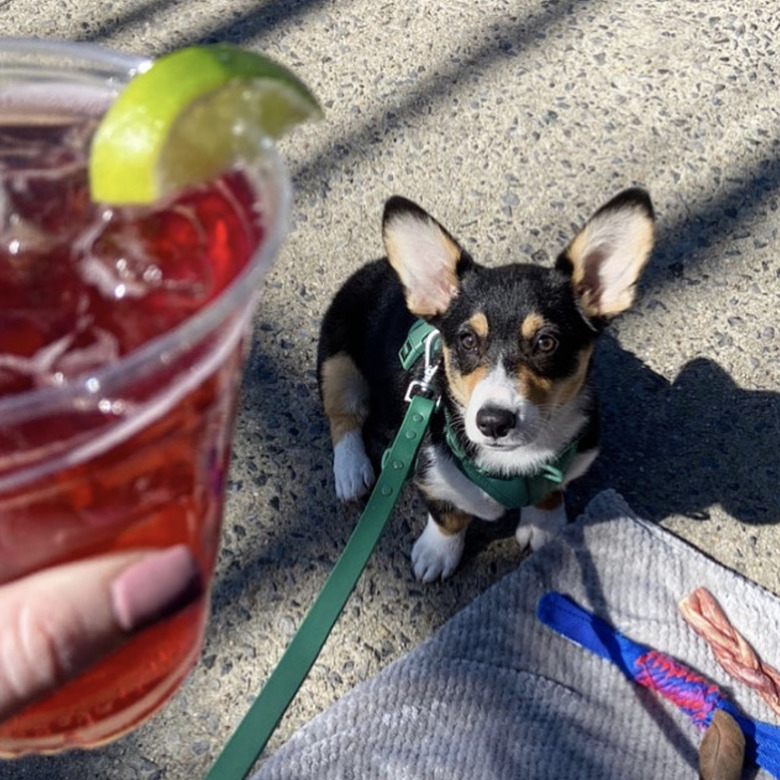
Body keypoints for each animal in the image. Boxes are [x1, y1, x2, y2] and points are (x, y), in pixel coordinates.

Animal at [316, 187, 652, 580]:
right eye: (467, 340)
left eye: (546, 342)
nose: (493, 422)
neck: (517, 460)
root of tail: (373, 267)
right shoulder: (429, 474)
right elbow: (448, 516)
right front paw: (437, 553)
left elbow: (551, 491)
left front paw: (545, 525)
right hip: (337, 360)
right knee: (344, 415)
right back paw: (351, 471)